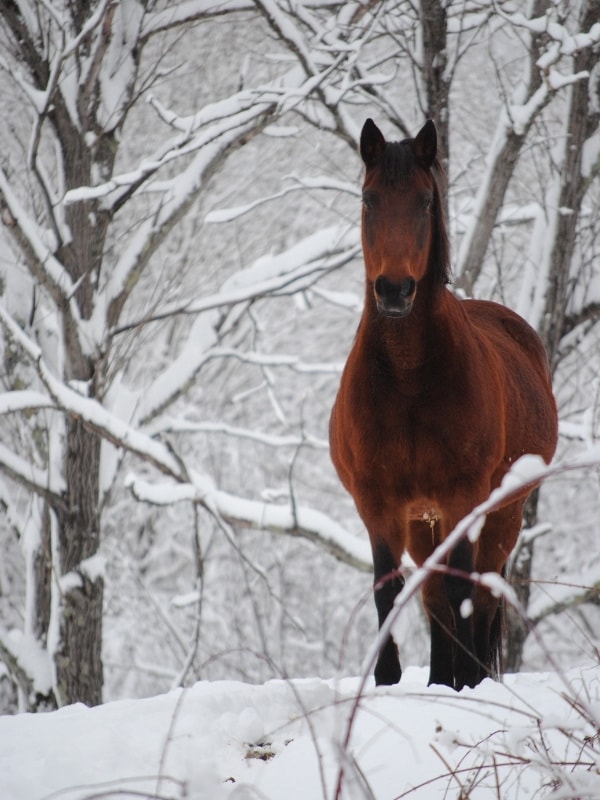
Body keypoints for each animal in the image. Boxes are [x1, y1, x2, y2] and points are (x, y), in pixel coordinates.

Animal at [328, 120, 556, 692]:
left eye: (426, 202)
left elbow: (463, 593)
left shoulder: (462, 499)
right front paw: (390, 683)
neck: (408, 380)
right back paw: (439, 680)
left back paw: (469, 679)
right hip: (422, 524)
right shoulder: (379, 506)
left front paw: (470, 684)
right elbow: (390, 592)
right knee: (433, 599)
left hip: (502, 515)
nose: (394, 290)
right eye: (368, 199)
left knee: (481, 591)